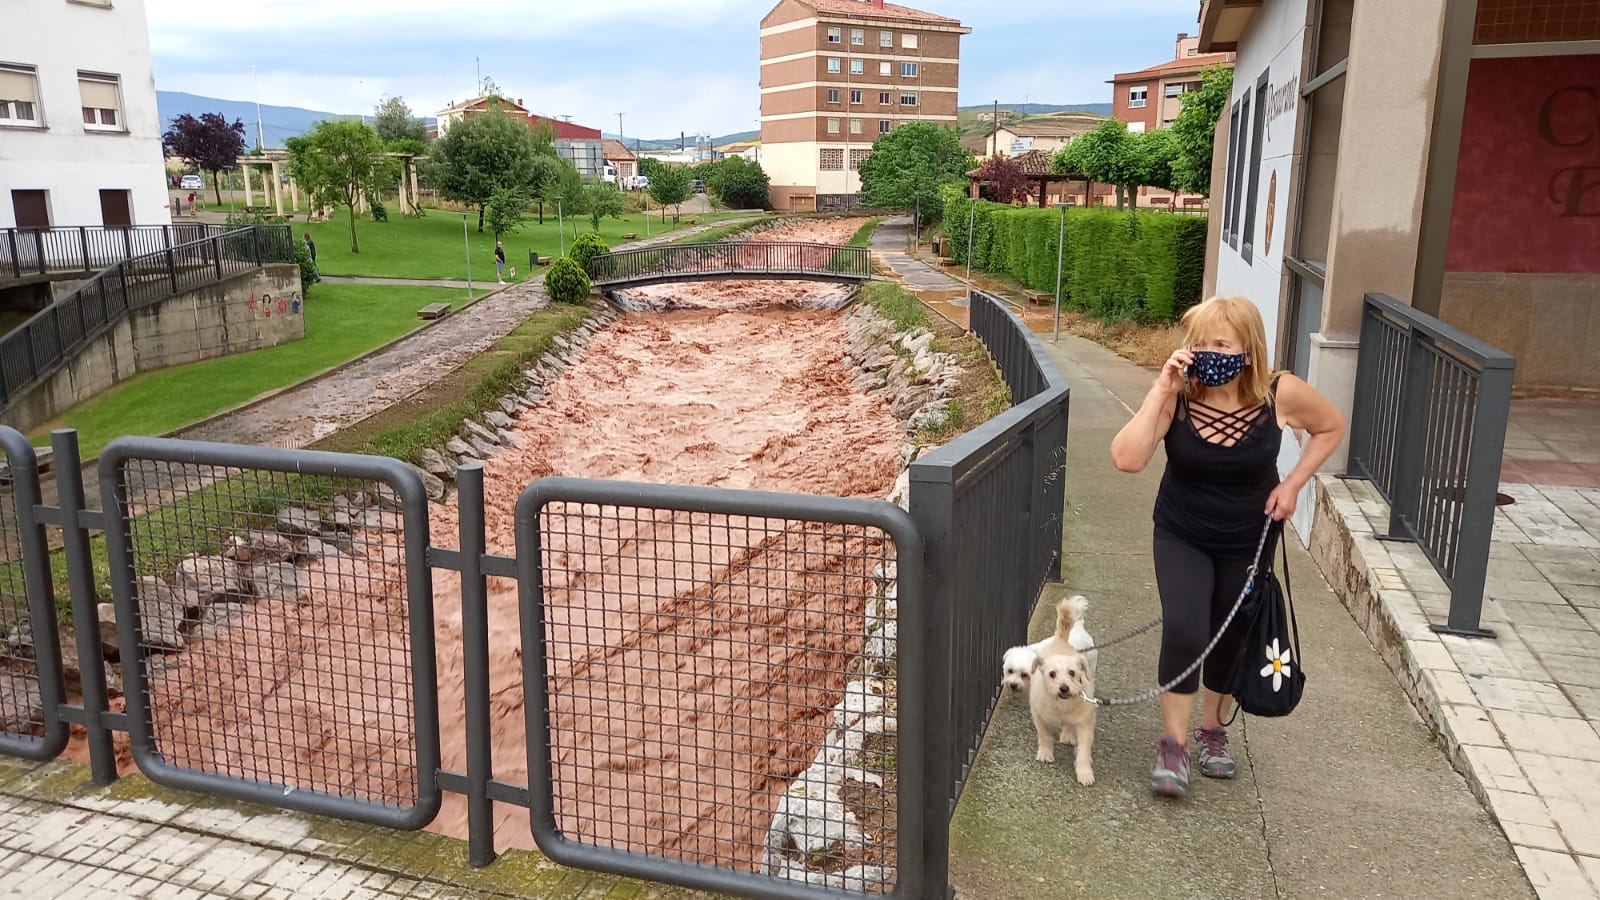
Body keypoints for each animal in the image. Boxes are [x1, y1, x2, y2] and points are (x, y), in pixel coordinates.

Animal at [1030, 592, 1094, 781]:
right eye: (1052, 674)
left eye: (1072, 673)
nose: (1064, 688)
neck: (1061, 705)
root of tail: (1061, 640)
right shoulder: (1039, 716)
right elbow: (1044, 735)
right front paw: (1045, 753)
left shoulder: (1084, 723)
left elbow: (1083, 751)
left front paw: (1084, 772)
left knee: (1067, 726)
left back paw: (1067, 735)